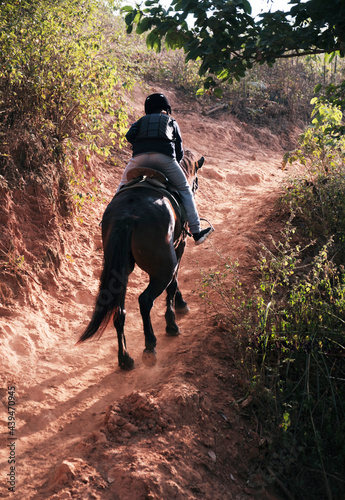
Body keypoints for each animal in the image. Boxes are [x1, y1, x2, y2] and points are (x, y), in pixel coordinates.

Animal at [76, 150, 203, 370]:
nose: (195, 188)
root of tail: (128, 216)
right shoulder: (179, 246)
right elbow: (174, 283)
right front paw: (176, 313)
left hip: (120, 274)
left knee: (119, 312)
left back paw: (125, 358)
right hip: (162, 270)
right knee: (145, 300)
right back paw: (151, 345)